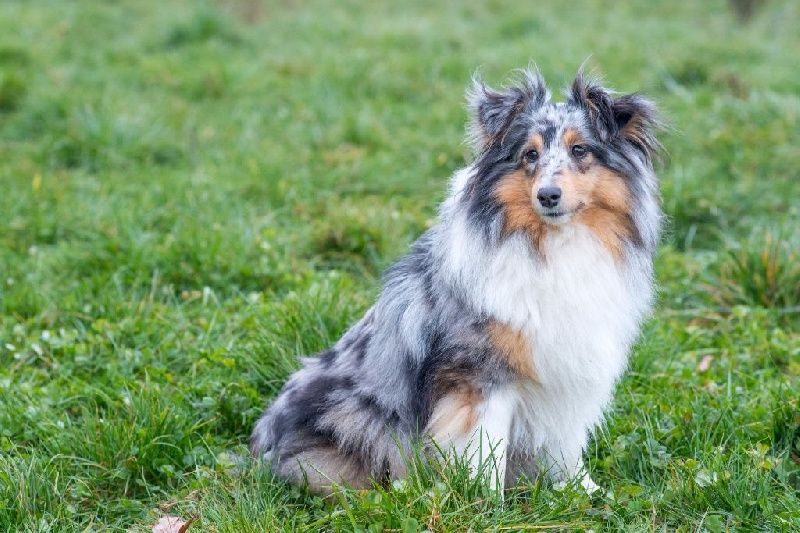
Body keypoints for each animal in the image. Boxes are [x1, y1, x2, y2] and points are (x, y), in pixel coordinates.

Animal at [250, 66, 664, 494]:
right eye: (530, 155)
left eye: (580, 150)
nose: (548, 195)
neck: (553, 245)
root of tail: (261, 448)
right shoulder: (480, 377)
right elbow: (485, 450)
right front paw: (486, 501)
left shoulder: (565, 373)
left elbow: (564, 446)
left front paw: (586, 493)